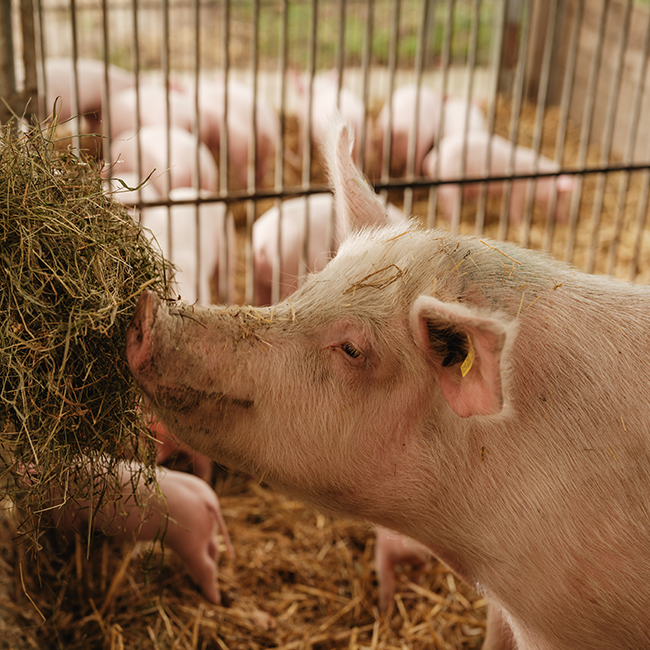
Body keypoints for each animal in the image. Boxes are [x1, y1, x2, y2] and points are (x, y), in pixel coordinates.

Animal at [32, 459, 233, 604]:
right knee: (214, 550)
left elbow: (64, 537)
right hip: (205, 536)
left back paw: (214, 600)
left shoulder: (65, 516)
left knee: (207, 566)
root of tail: (209, 501)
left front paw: (62, 553)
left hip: (190, 543)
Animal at [422, 131, 575, 224]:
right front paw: (520, 223)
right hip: (451, 182)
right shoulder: (518, 190)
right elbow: (514, 208)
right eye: (561, 196)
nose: (566, 220)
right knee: (449, 203)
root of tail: (433, 157)